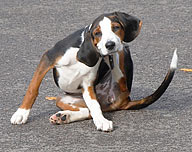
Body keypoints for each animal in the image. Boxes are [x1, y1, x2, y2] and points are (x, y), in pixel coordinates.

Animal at [10, 11, 178, 131]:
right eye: (97, 33)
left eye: (116, 27)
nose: (109, 44)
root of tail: (124, 101)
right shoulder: (47, 59)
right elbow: (32, 89)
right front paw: (21, 113)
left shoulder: (88, 85)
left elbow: (95, 107)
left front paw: (102, 121)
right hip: (62, 99)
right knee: (90, 109)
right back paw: (64, 116)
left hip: (122, 59)